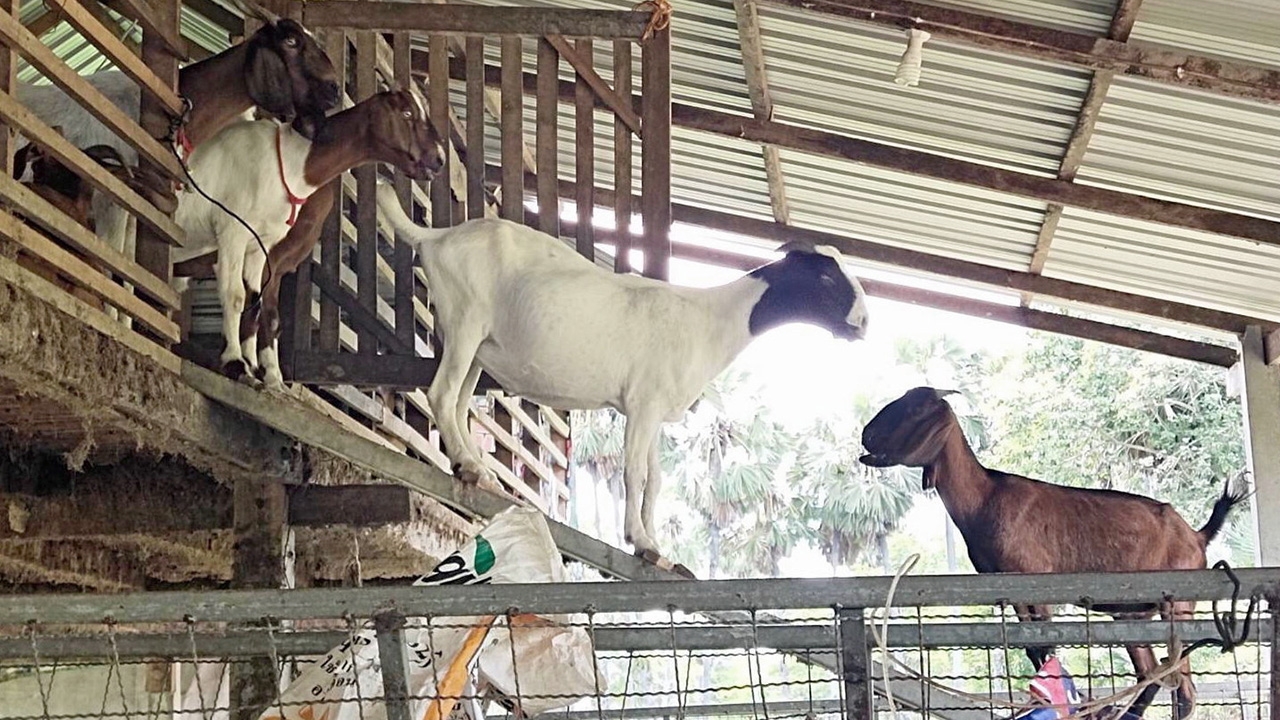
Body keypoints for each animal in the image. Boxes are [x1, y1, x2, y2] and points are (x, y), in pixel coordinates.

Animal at [373, 183, 875, 556]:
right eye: (825, 276)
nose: (865, 323)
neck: (710, 320)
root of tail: (434, 238)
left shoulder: (655, 412)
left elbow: (655, 480)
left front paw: (655, 545)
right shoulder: (642, 404)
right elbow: (633, 474)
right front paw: (640, 542)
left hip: (478, 346)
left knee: (458, 403)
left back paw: (475, 468)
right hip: (465, 319)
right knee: (440, 393)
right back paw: (472, 468)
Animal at [855, 386, 1244, 717]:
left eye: (916, 409)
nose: (867, 436)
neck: (985, 498)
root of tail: (1197, 535)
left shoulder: (1034, 579)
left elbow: (1045, 647)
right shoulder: (1010, 588)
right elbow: (1033, 648)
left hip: (1178, 605)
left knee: (1183, 688)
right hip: (1133, 614)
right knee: (1152, 673)